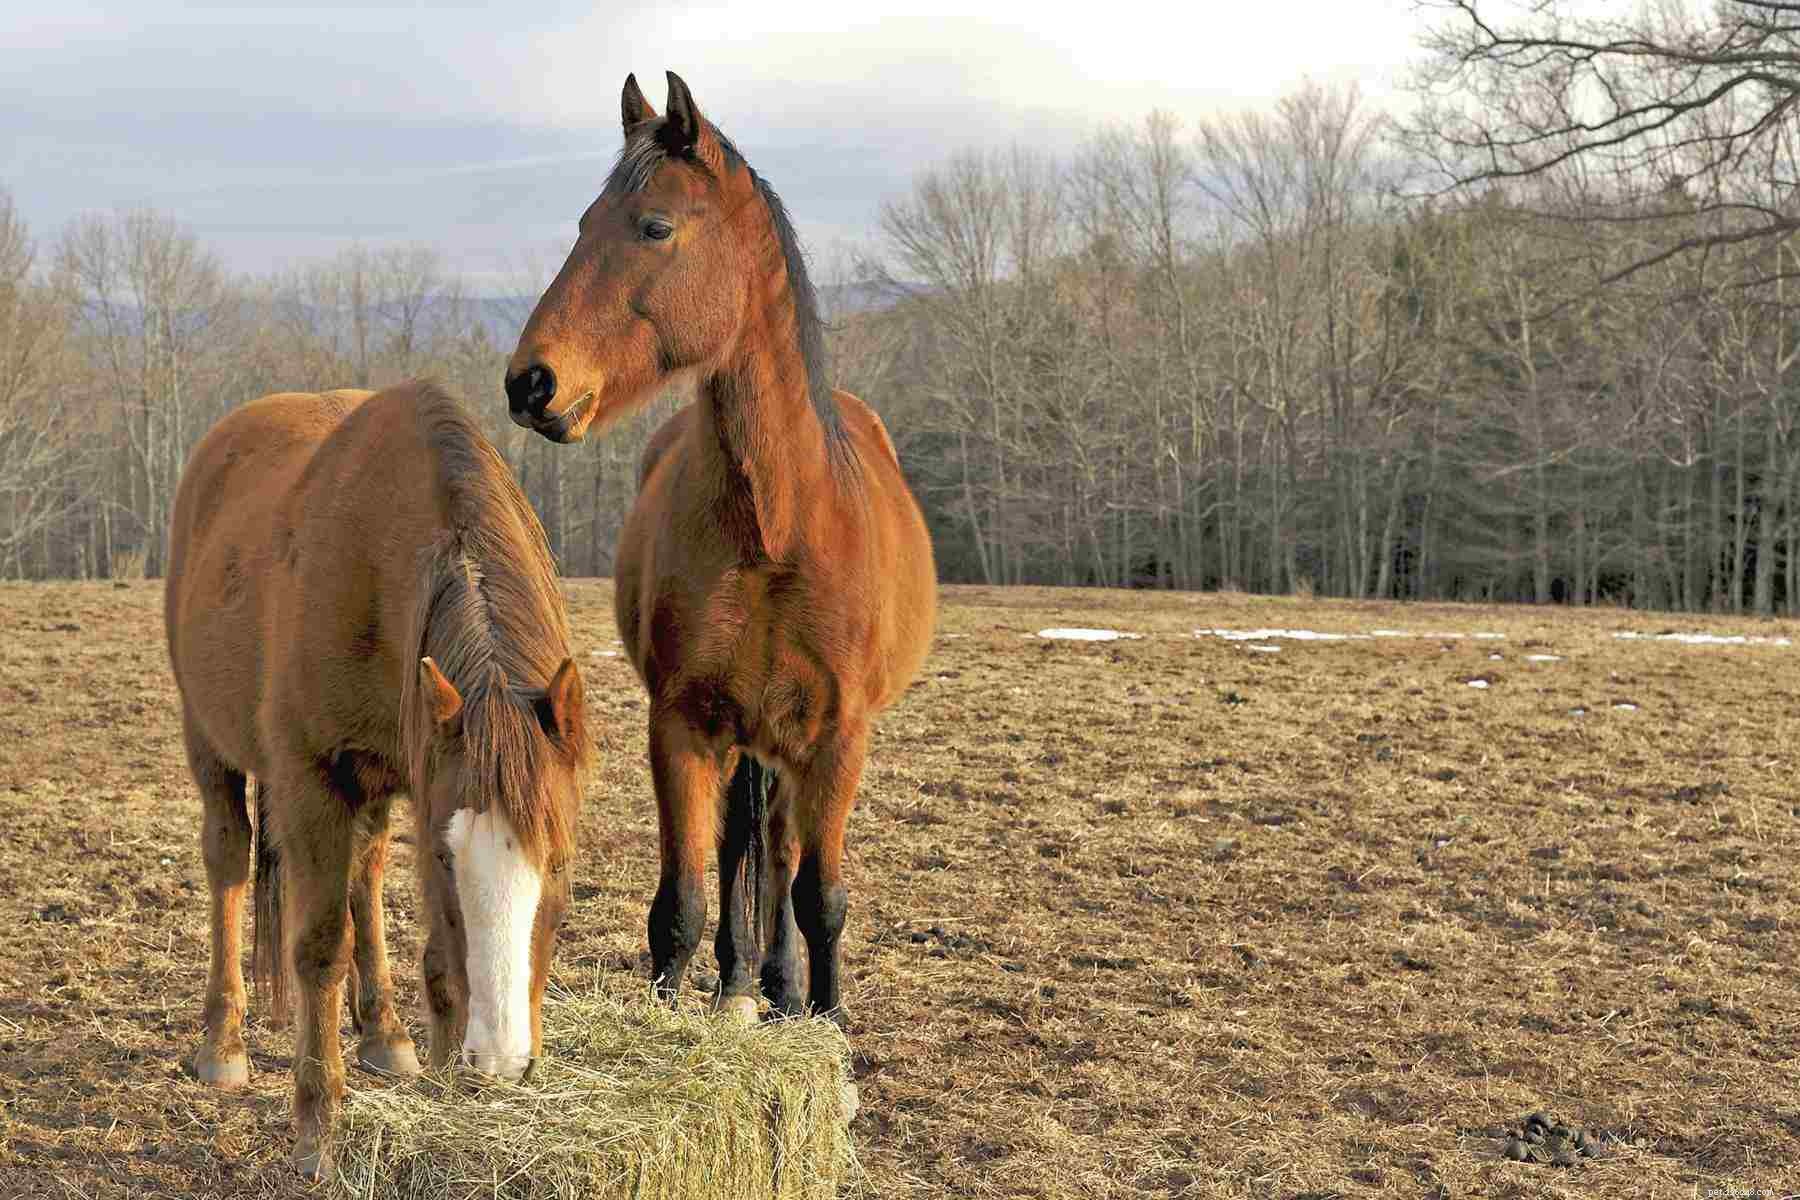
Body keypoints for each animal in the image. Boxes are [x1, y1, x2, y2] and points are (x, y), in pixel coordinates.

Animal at [164, 381, 588, 1180]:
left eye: (560, 861)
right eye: (447, 859)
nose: (505, 1060)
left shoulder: (418, 777)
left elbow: (436, 957)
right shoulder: (311, 781)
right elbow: (318, 948)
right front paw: (317, 1126)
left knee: (363, 871)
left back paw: (385, 1035)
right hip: (209, 744)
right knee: (229, 860)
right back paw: (222, 1043)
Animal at [504, 71, 936, 1026]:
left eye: (655, 226)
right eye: (583, 223)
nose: (530, 382)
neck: (777, 527)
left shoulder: (838, 738)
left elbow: (819, 896)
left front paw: (825, 1017)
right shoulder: (682, 725)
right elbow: (684, 901)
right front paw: (677, 1003)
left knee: (777, 852)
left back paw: (778, 984)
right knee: (745, 843)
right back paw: (743, 979)